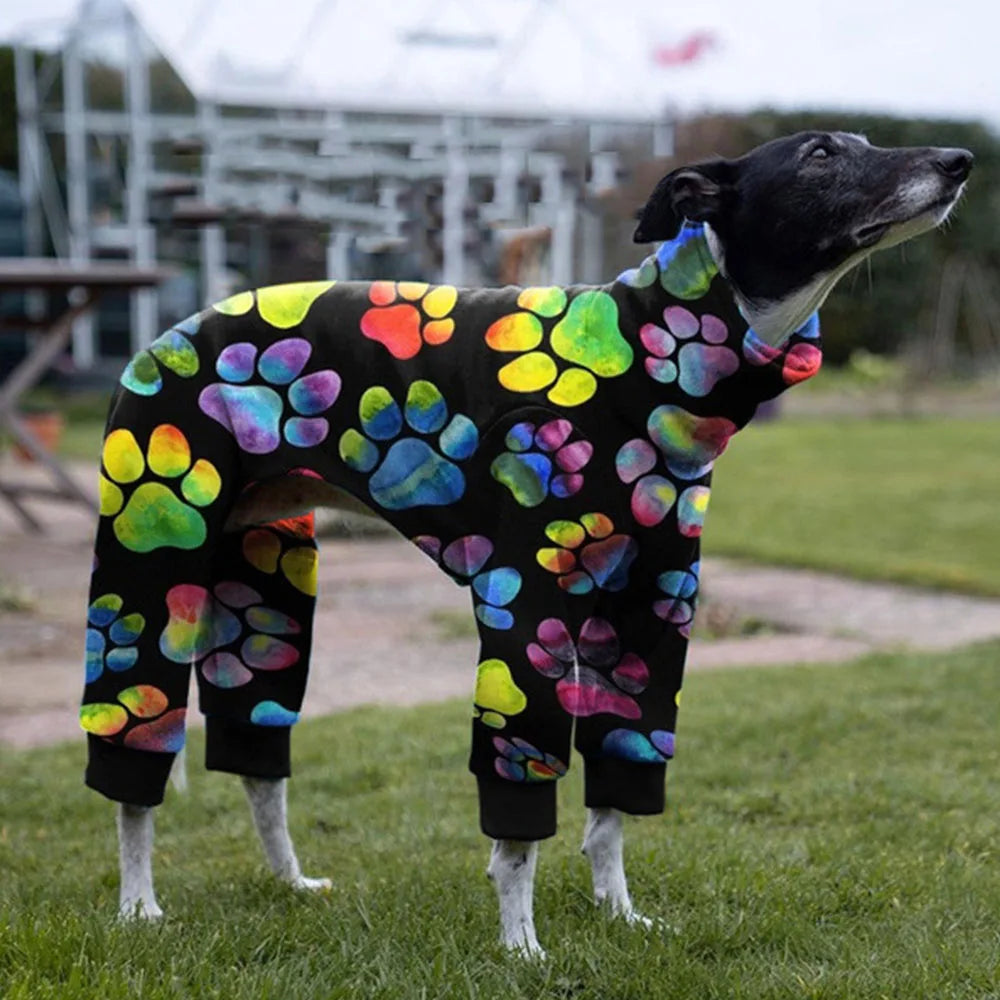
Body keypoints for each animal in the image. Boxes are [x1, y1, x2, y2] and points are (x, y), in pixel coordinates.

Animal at [82, 131, 972, 952]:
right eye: (821, 155)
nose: (960, 160)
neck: (654, 355)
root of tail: (172, 331)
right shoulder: (526, 609)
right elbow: (519, 824)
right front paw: (521, 945)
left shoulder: (654, 614)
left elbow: (614, 800)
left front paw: (620, 913)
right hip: (151, 567)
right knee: (135, 757)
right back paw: (137, 905)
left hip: (265, 588)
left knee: (259, 759)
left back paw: (290, 882)